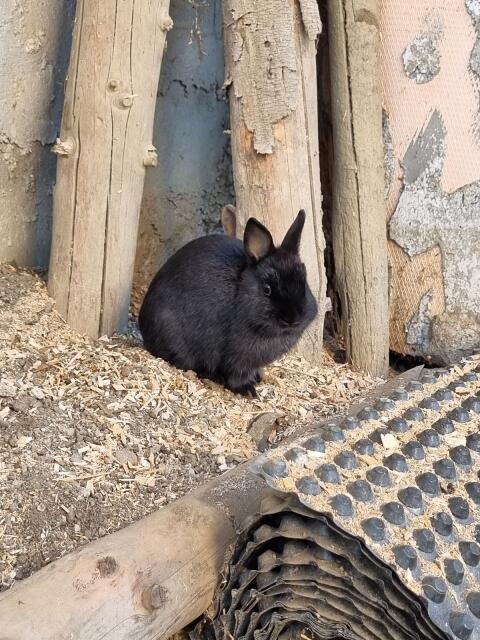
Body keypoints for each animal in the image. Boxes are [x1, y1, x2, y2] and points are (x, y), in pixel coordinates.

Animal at [138, 209, 318, 397]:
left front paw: (258, 378)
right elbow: (236, 374)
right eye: (267, 289)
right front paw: (248, 391)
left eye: (304, 284)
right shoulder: (237, 356)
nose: (292, 319)